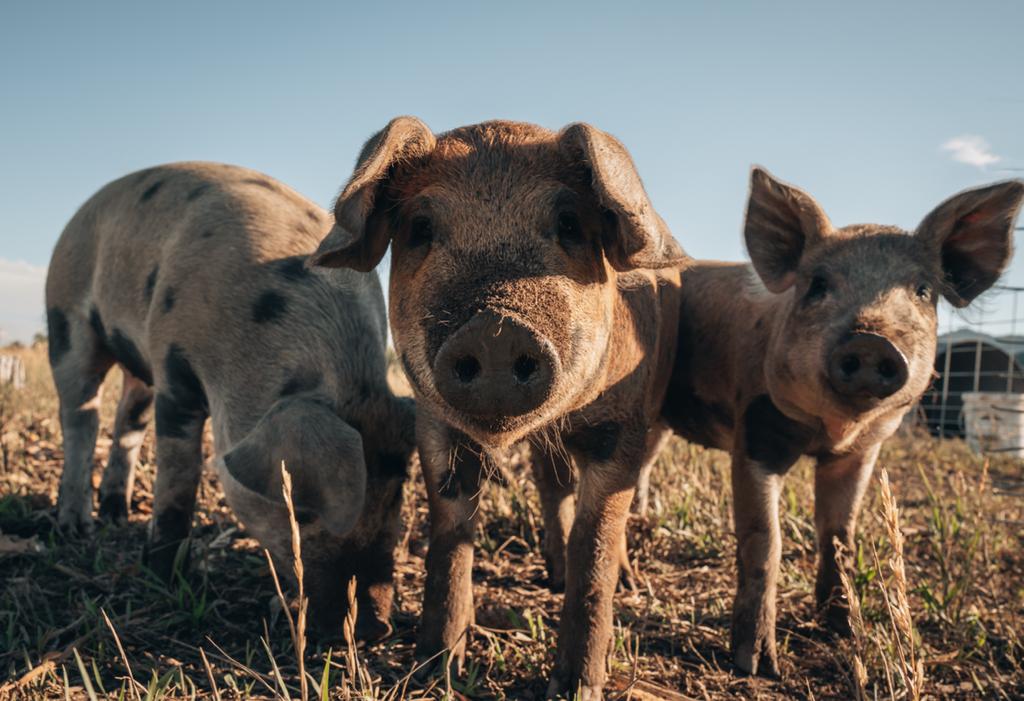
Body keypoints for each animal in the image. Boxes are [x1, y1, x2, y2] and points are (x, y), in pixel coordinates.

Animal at [45, 162, 415, 640]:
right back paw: (77, 527)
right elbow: (179, 480)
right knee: (80, 417)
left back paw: (116, 515)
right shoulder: (175, 373)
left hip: (135, 368)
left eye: (396, 493)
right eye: (303, 512)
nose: (374, 627)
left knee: (128, 421)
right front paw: (165, 576)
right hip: (65, 313)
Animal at [311, 117, 686, 698]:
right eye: (420, 227)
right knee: (552, 483)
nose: (495, 329)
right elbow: (450, 540)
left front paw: (574, 688)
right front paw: (432, 673)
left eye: (569, 222)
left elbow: (596, 551)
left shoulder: (620, 428)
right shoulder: (434, 425)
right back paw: (551, 571)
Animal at [650, 168, 1024, 676]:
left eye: (923, 291)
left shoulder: (861, 453)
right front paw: (757, 666)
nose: (871, 341)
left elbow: (840, 536)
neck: (833, 429)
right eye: (818, 284)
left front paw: (843, 631)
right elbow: (765, 540)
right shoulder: (755, 433)